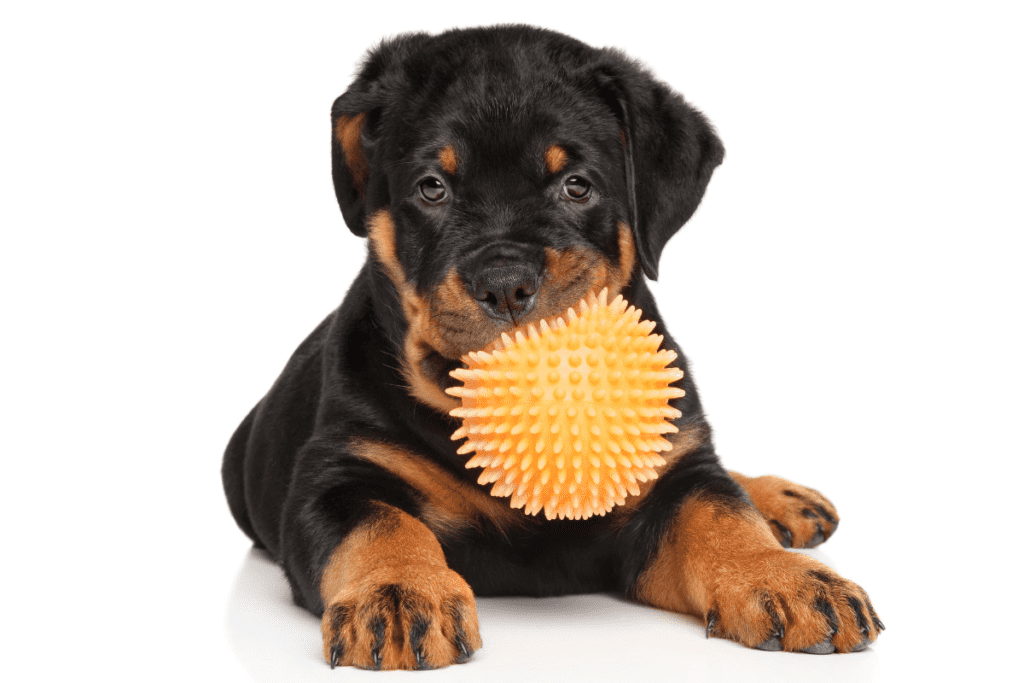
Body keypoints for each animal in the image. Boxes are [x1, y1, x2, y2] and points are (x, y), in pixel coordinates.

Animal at [222, 24, 880, 671]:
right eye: (432, 188)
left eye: (576, 186)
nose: (505, 281)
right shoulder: (336, 477)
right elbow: (381, 526)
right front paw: (399, 591)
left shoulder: (675, 480)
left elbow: (722, 513)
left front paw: (785, 578)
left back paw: (775, 497)